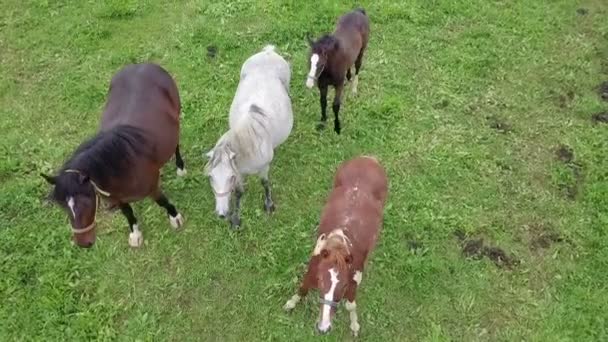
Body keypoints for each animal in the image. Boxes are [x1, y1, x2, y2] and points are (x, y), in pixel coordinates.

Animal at [41, 62, 185, 247]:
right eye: (63, 206)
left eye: (86, 202)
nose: (84, 243)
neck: (121, 165)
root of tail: (141, 64)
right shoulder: (118, 199)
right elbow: (128, 213)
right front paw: (135, 234)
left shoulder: (152, 187)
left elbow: (162, 201)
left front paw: (175, 218)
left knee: (176, 144)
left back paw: (180, 168)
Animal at [203, 44, 294, 228]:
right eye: (211, 177)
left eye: (229, 177)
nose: (221, 214)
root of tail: (268, 52)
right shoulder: (240, 171)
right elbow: (239, 192)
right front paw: (236, 219)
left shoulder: (262, 168)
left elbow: (265, 183)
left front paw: (269, 205)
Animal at [282, 156, 388, 336]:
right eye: (320, 280)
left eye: (343, 285)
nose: (323, 328)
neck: (338, 244)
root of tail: (368, 159)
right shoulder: (312, 269)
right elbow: (302, 288)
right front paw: (290, 304)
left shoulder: (353, 282)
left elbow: (350, 305)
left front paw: (354, 326)